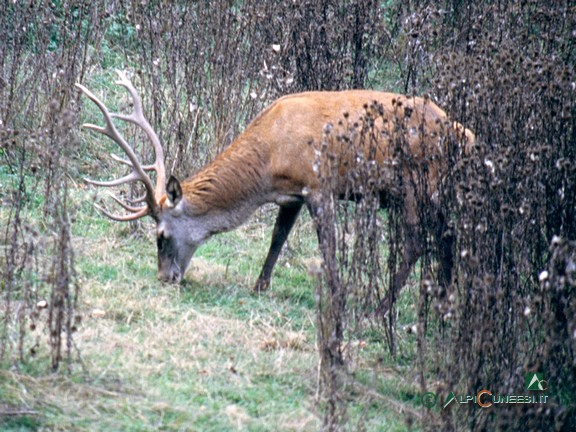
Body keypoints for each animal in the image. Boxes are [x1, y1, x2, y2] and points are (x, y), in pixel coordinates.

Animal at [76, 70, 472, 300]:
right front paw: (259, 285)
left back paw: (382, 305)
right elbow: (277, 238)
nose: (165, 277)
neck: (269, 161)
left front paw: (336, 291)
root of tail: (464, 135)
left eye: (162, 235)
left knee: (417, 242)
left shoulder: (317, 184)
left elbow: (327, 245)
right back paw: (444, 298)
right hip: (434, 191)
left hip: (416, 183)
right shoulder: (291, 195)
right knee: (448, 235)